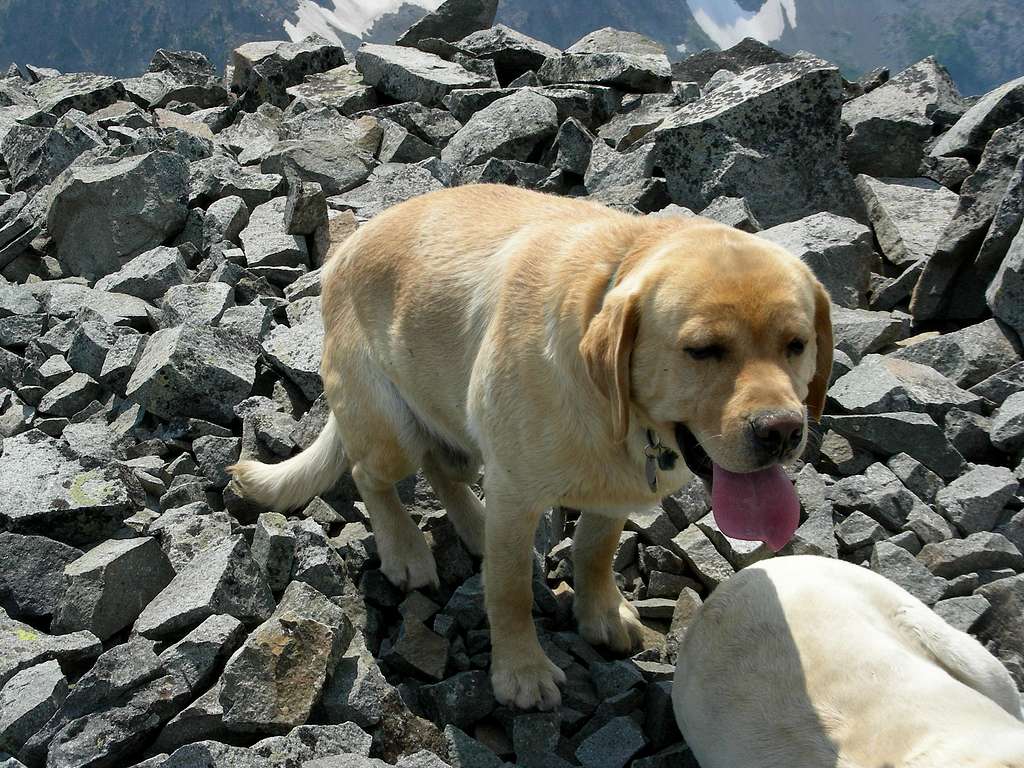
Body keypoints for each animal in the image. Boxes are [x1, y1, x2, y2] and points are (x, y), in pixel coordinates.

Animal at [230, 185, 831, 708]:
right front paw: (521, 671)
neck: (619, 415)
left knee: (443, 467)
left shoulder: (613, 491)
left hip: (461, 421)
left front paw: (601, 614)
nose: (782, 430)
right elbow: (510, 590)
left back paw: (475, 525)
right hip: (389, 424)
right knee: (370, 476)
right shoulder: (518, 494)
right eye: (702, 350)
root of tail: (340, 256)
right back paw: (406, 549)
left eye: (796, 344)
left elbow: (595, 550)